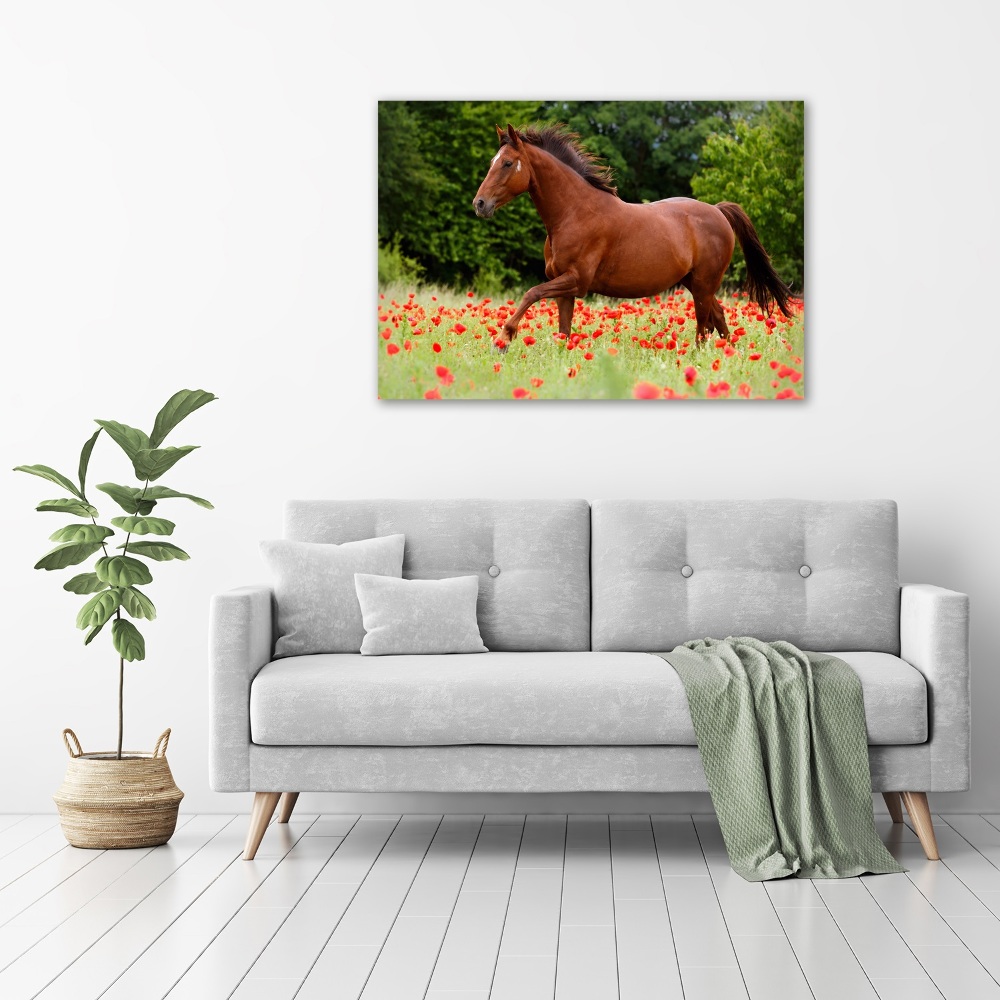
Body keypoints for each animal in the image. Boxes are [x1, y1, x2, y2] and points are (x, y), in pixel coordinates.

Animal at [472, 125, 792, 348]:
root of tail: (717, 211)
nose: (480, 204)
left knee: (704, 328)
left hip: (704, 285)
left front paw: (503, 339)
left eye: (507, 163)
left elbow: (531, 293)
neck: (574, 212)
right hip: (697, 284)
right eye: (492, 161)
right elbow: (563, 331)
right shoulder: (564, 287)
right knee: (719, 320)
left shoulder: (576, 281)